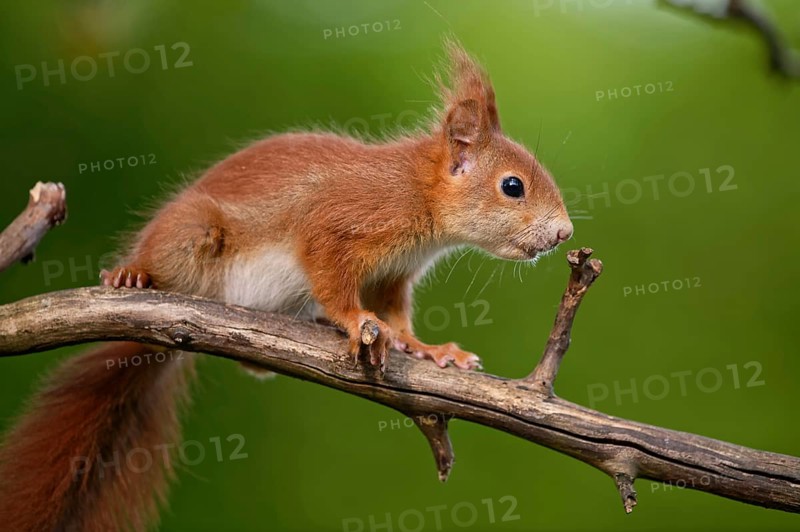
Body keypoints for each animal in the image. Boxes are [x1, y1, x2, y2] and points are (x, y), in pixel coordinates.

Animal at [0, 41, 572, 531]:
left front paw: (431, 350)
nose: (565, 233)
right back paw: (132, 274)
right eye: (512, 187)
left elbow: (397, 316)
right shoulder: (339, 226)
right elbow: (334, 281)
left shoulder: (392, 275)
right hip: (191, 234)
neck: (418, 195)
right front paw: (355, 322)